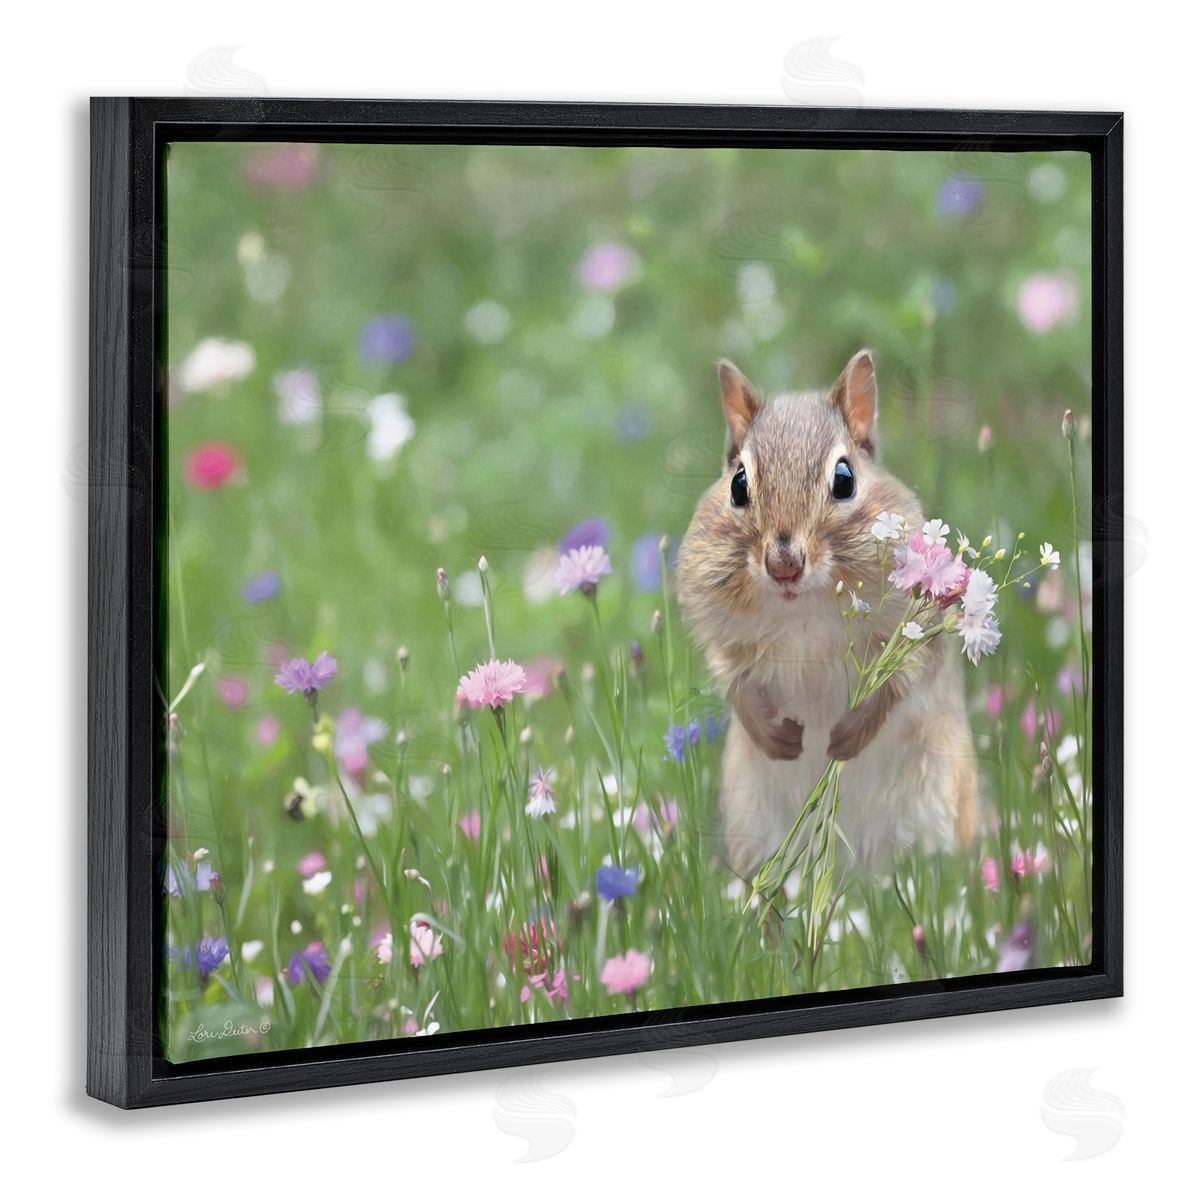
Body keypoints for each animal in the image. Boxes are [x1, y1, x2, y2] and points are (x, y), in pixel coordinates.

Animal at [677, 350, 979, 878]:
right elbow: (733, 682)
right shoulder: (724, 635)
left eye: (844, 479)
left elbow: (900, 684)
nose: (783, 565)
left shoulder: (913, 635)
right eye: (738, 484)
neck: (802, 609)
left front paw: (846, 739)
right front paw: (777, 738)